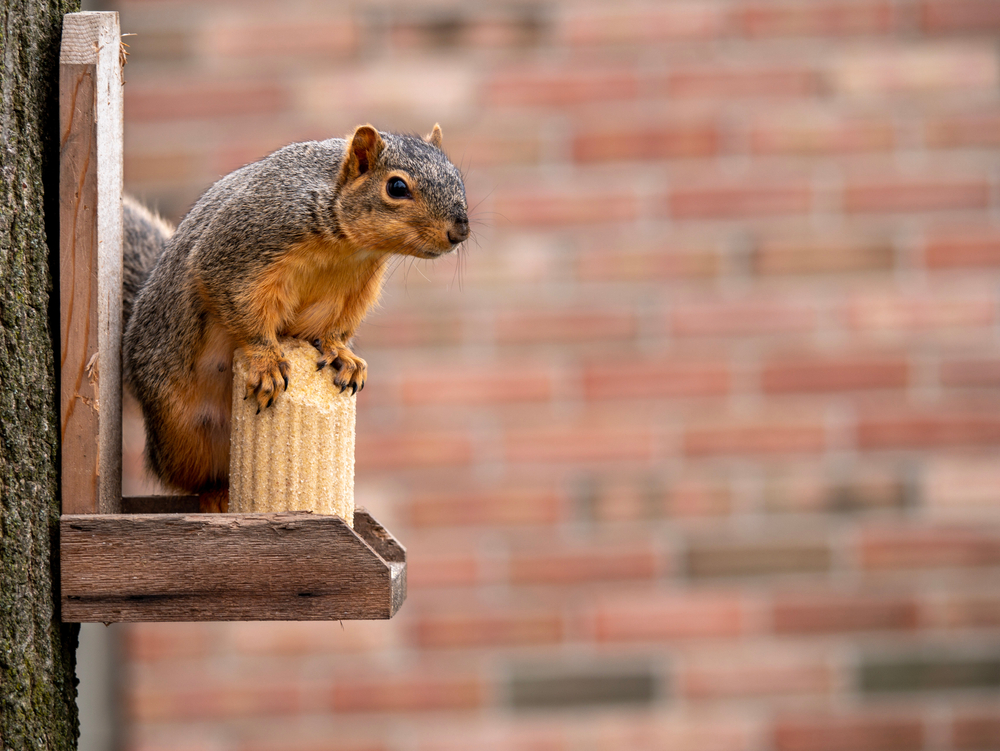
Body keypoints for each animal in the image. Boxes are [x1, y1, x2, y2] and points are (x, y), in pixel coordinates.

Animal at [122, 125, 468, 512]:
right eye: (396, 187)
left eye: (457, 176)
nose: (460, 231)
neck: (348, 248)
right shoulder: (242, 249)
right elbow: (240, 307)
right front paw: (267, 361)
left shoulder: (350, 293)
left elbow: (332, 330)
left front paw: (342, 355)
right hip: (180, 431)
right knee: (195, 478)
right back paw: (217, 494)